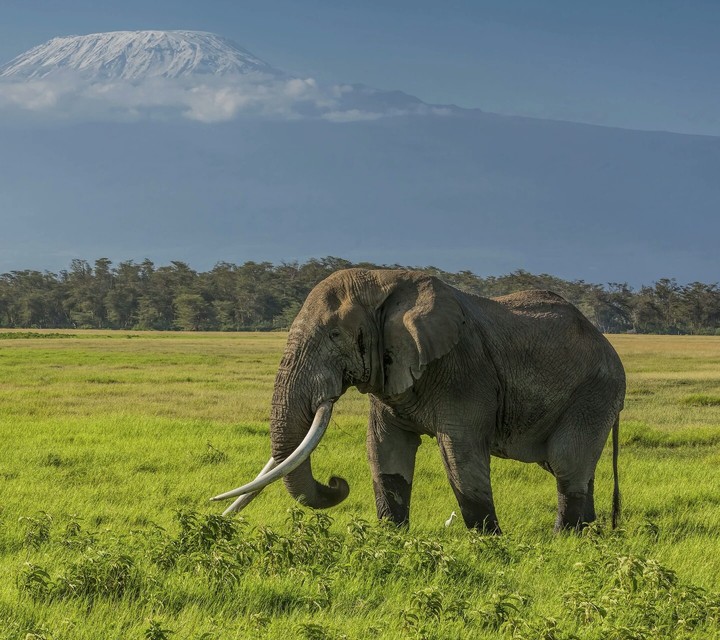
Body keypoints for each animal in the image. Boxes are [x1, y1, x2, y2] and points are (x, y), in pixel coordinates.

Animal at [212, 268, 625, 533]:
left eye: (334, 335)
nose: (336, 481)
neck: (385, 280)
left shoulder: (464, 371)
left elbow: (460, 456)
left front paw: (488, 544)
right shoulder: (391, 372)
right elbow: (385, 450)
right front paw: (391, 539)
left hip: (594, 395)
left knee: (567, 463)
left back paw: (565, 540)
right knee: (573, 468)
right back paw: (590, 536)